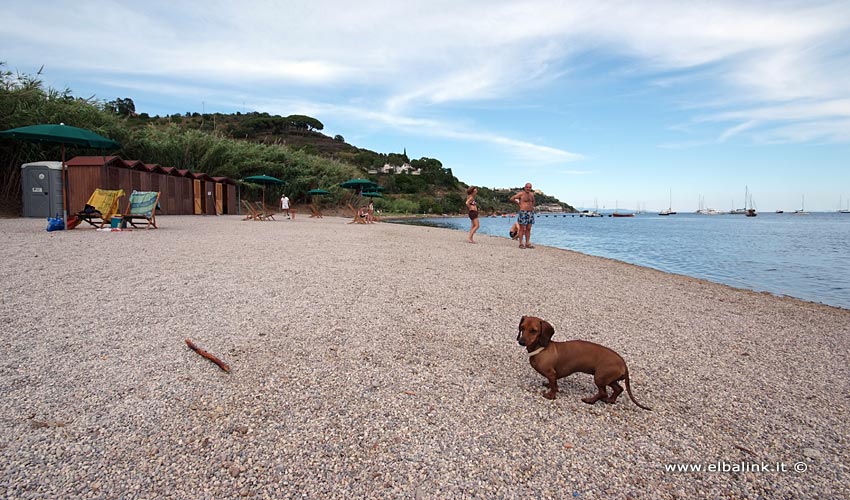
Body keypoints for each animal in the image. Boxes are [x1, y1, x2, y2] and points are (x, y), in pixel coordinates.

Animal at [516, 316, 648, 410]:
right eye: (522, 328)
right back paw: (610, 400)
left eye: (534, 330)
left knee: (603, 392)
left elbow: (554, 386)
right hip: (608, 378)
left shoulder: (551, 374)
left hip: (599, 377)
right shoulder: (553, 376)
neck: (542, 348)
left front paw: (551, 396)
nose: (521, 341)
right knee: (618, 389)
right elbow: (553, 384)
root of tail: (623, 362)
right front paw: (550, 386)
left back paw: (590, 400)